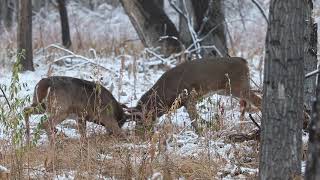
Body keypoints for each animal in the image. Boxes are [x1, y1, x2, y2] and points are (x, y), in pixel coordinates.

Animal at [129, 57, 262, 133]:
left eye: (139, 119)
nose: (138, 134)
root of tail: (244, 61)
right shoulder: (187, 101)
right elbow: (195, 118)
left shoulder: (189, 97)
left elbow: (194, 119)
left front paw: (202, 131)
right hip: (228, 90)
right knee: (247, 104)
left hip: (238, 86)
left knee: (257, 100)